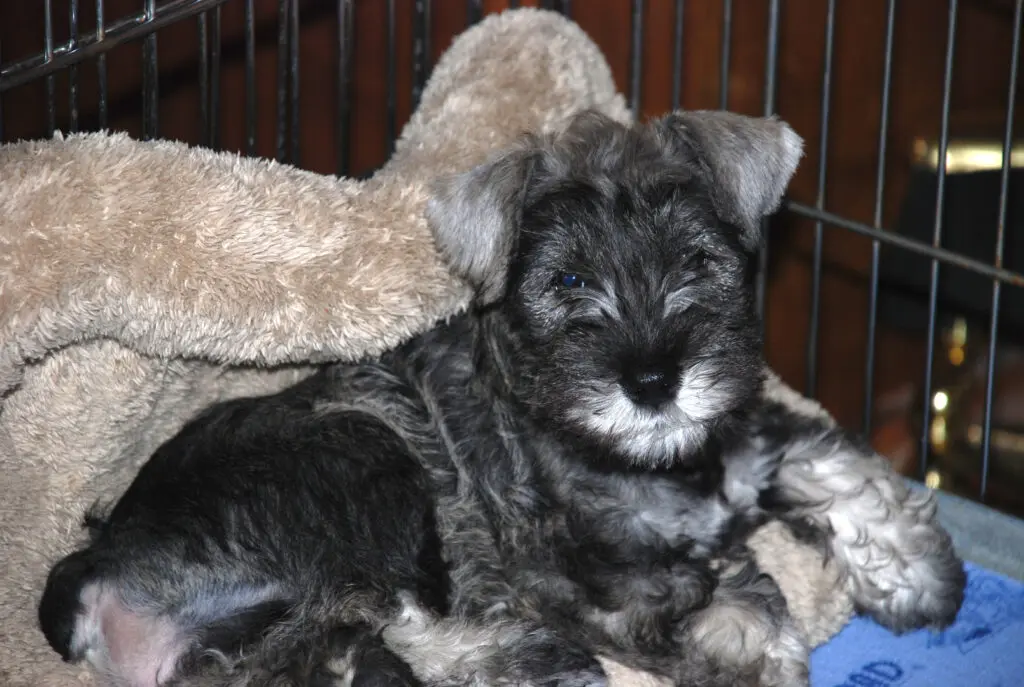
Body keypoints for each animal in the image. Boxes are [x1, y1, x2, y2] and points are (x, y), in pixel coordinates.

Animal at [41, 109, 966, 687]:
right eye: (568, 282)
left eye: (699, 262)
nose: (653, 382)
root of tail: (101, 561)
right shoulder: (564, 568)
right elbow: (728, 601)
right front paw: (747, 640)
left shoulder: (744, 429)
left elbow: (835, 459)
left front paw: (915, 571)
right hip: (362, 457)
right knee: (353, 627)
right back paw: (528, 661)